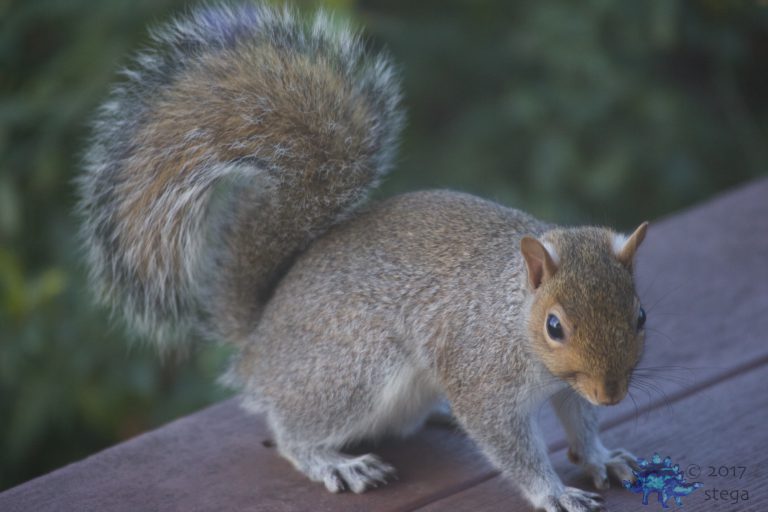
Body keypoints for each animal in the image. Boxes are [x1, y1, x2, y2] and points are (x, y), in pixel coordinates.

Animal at [78, 4, 649, 511]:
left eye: (641, 315)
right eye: (554, 326)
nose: (612, 394)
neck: (510, 313)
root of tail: (258, 343)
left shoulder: (570, 389)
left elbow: (581, 421)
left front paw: (600, 457)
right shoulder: (479, 373)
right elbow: (509, 444)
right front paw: (552, 492)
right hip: (351, 372)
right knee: (290, 431)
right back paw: (333, 461)